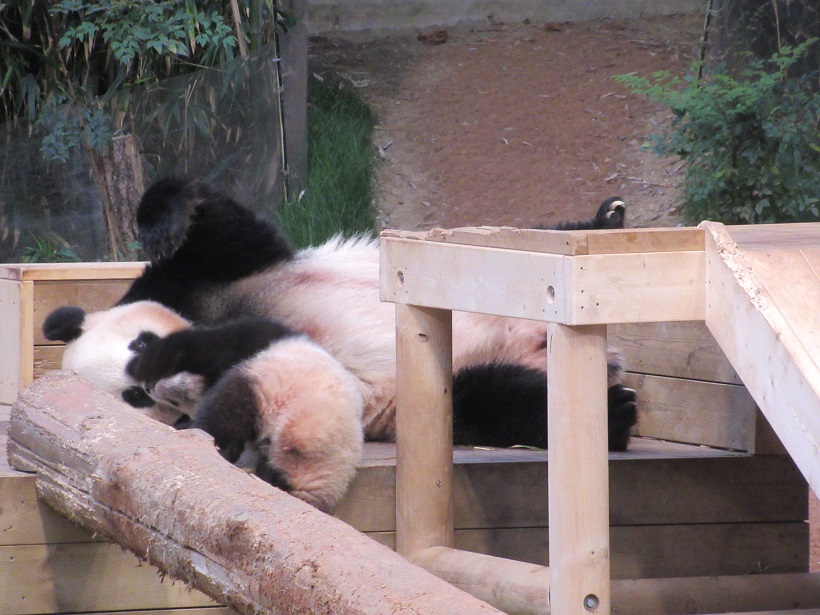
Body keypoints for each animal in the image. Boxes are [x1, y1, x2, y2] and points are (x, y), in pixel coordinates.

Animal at [43, 300, 364, 512]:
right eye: (133, 396)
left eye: (139, 343)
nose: (150, 385)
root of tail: (301, 435)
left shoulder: (256, 337)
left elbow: (197, 345)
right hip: (266, 390)